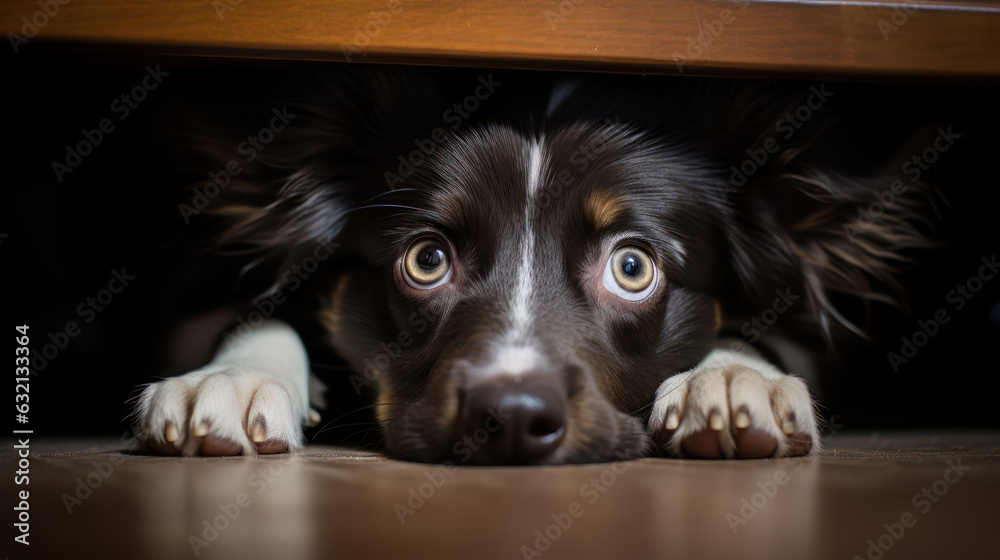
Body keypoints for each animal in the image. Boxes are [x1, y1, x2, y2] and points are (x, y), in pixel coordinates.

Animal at [129, 66, 932, 464]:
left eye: (632, 267)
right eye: (427, 259)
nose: (511, 418)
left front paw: (735, 378)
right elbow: (270, 316)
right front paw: (230, 379)